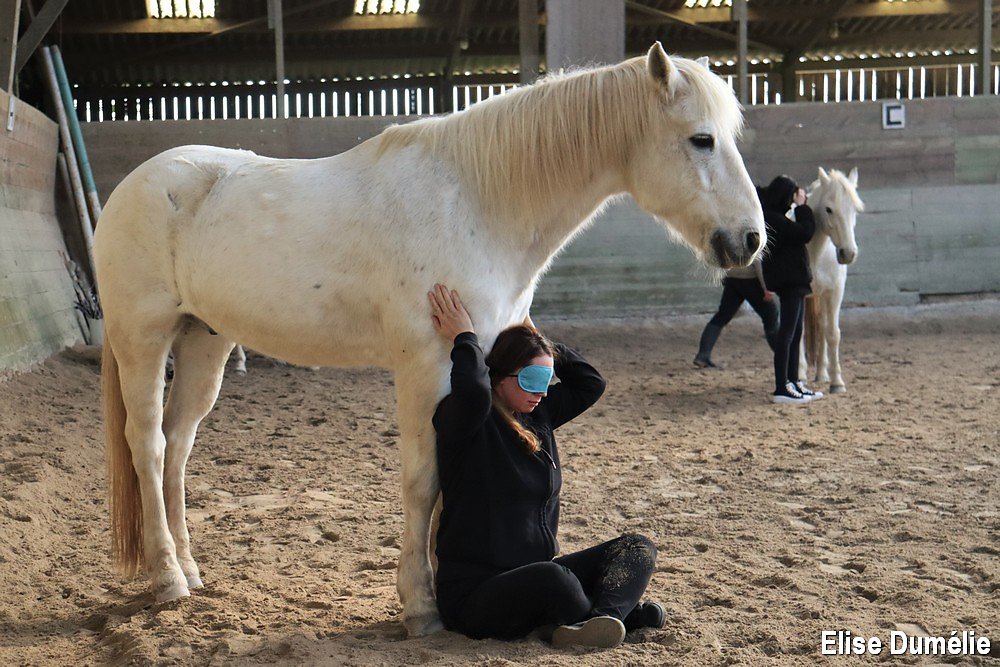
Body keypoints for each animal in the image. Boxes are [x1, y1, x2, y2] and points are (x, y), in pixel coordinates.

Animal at [94, 43, 764, 637]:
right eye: (701, 139)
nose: (751, 240)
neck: (477, 200)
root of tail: (134, 185)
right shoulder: (427, 363)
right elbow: (425, 480)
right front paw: (421, 607)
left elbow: (448, 481)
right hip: (143, 340)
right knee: (148, 444)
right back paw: (167, 580)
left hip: (203, 342)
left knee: (178, 446)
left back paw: (190, 570)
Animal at [800, 167, 864, 393]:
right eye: (828, 209)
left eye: (855, 209)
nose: (848, 253)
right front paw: (799, 375)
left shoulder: (835, 293)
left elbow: (832, 333)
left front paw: (837, 382)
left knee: (821, 326)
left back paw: (821, 374)